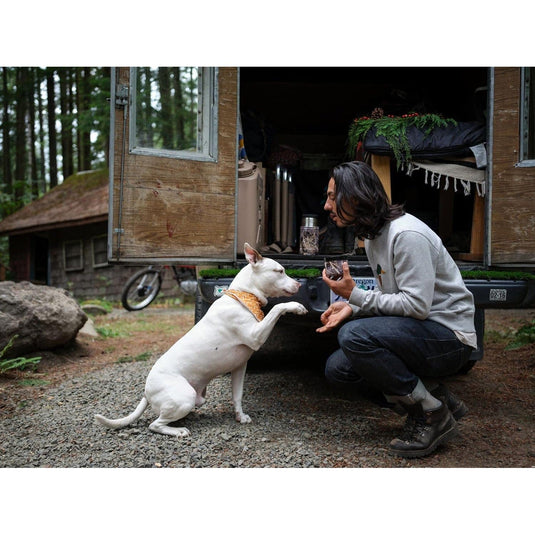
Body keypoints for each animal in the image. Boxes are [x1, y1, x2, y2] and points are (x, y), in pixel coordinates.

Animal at [94, 245, 308, 438]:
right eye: (279, 271)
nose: (299, 286)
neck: (243, 297)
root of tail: (147, 392)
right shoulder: (256, 335)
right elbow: (277, 307)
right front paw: (295, 306)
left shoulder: (240, 367)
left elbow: (237, 395)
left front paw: (240, 416)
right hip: (184, 396)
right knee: (155, 425)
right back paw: (178, 431)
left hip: (195, 398)